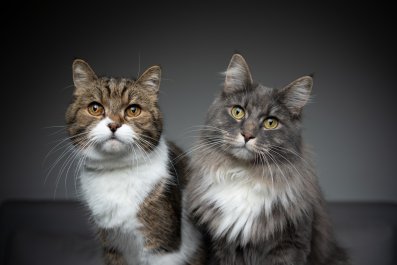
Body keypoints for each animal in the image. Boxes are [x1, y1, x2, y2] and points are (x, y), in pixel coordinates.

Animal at [186, 54, 350, 264]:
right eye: (238, 112)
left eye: (270, 123)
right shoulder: (219, 244)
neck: (244, 174)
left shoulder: (291, 242)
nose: (247, 135)